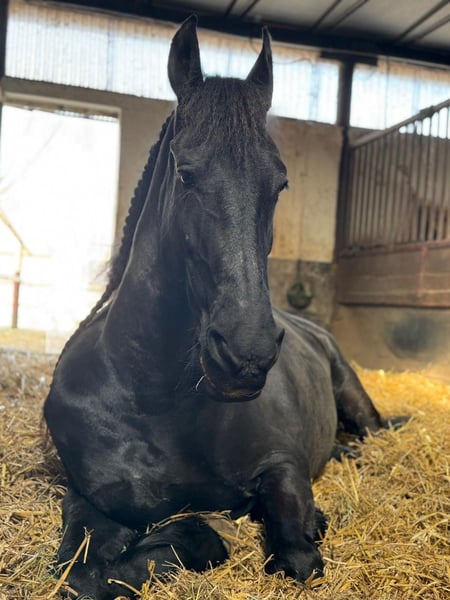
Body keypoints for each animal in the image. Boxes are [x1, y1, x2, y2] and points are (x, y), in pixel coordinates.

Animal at [44, 16, 402, 600]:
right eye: (184, 174)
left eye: (280, 182)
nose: (246, 354)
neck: (154, 397)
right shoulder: (90, 499)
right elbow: (82, 574)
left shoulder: (283, 466)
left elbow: (295, 555)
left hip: (357, 401)